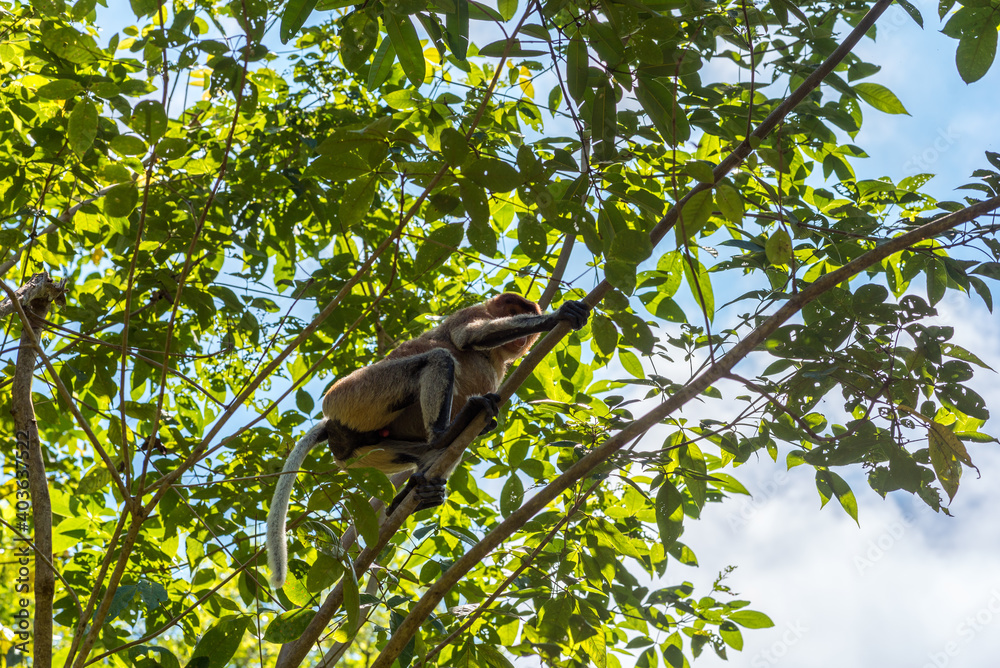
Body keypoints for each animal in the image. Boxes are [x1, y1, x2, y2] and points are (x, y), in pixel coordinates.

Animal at [266, 293, 590, 587]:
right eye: (512, 311)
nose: (521, 343)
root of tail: (331, 423)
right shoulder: (470, 314)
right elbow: (467, 337)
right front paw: (559, 316)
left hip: (364, 446)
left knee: (432, 450)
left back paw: (416, 492)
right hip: (359, 393)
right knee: (439, 360)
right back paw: (446, 432)